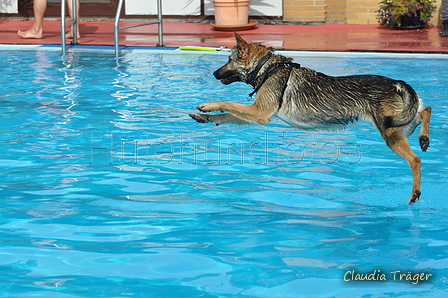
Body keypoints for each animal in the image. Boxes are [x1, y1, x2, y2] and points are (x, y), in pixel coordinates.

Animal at [189, 33, 430, 205]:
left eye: (228, 60)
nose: (213, 74)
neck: (267, 67)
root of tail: (397, 83)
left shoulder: (259, 113)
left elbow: (228, 104)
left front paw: (207, 105)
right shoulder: (257, 114)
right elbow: (228, 115)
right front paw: (204, 117)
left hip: (390, 131)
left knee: (415, 160)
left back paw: (415, 192)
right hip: (399, 123)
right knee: (425, 110)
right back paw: (424, 138)